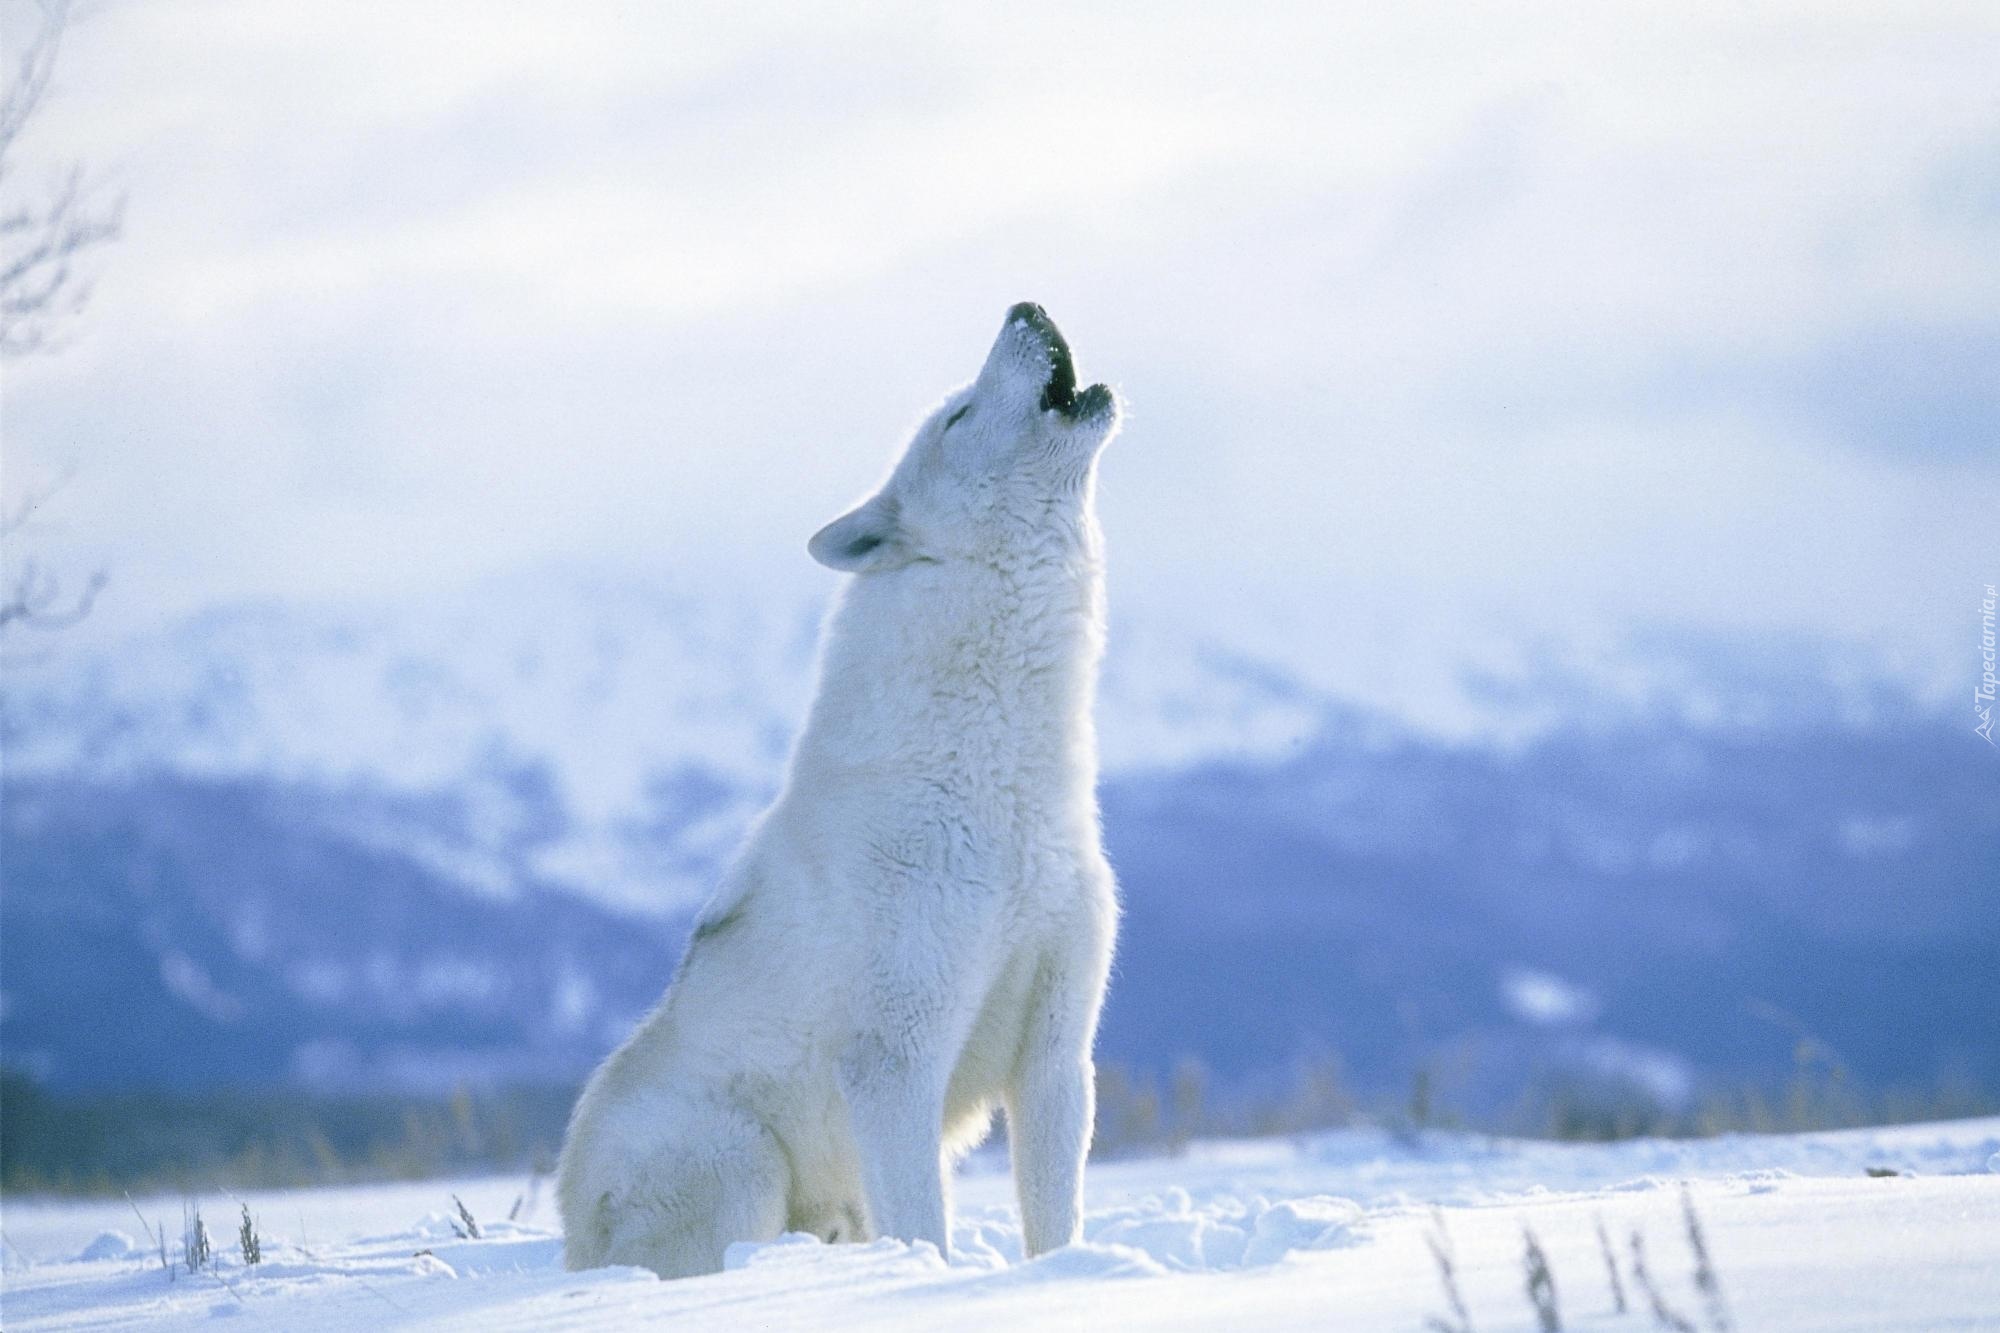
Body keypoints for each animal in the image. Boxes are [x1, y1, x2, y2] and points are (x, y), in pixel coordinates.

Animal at [556, 304, 1128, 1280]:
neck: (1003, 790)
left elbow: (1055, 1221)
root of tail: (568, 1234)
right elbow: (927, 1224)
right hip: (741, 1162)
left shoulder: (1058, 1052)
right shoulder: (895, 1061)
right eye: (958, 417)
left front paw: (1063, 1279)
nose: (1026, 307)